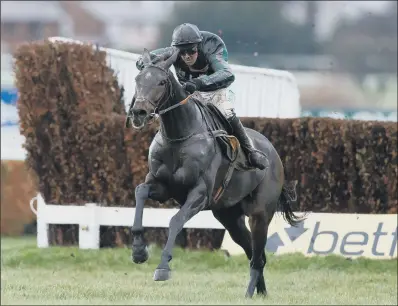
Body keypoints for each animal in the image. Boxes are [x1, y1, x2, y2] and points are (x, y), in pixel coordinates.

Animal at [124, 48, 302, 298]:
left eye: (161, 81)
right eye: (138, 80)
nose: (139, 112)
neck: (179, 137)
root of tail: (273, 154)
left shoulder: (200, 194)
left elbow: (176, 220)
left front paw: (163, 268)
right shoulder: (161, 185)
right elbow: (140, 193)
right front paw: (139, 251)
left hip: (260, 215)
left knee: (257, 257)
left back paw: (249, 294)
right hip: (229, 216)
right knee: (253, 253)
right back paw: (261, 292)